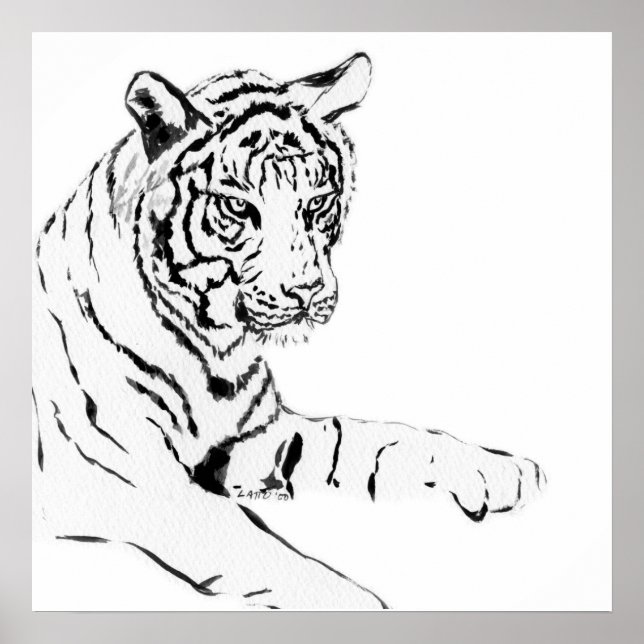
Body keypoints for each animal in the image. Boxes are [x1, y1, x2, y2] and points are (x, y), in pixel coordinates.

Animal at [32, 52, 546, 609]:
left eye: (317, 202)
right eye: (239, 207)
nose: (305, 291)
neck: (217, 350)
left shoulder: (259, 436)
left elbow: (369, 440)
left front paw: (503, 472)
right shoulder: (125, 480)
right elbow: (257, 546)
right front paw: (359, 603)